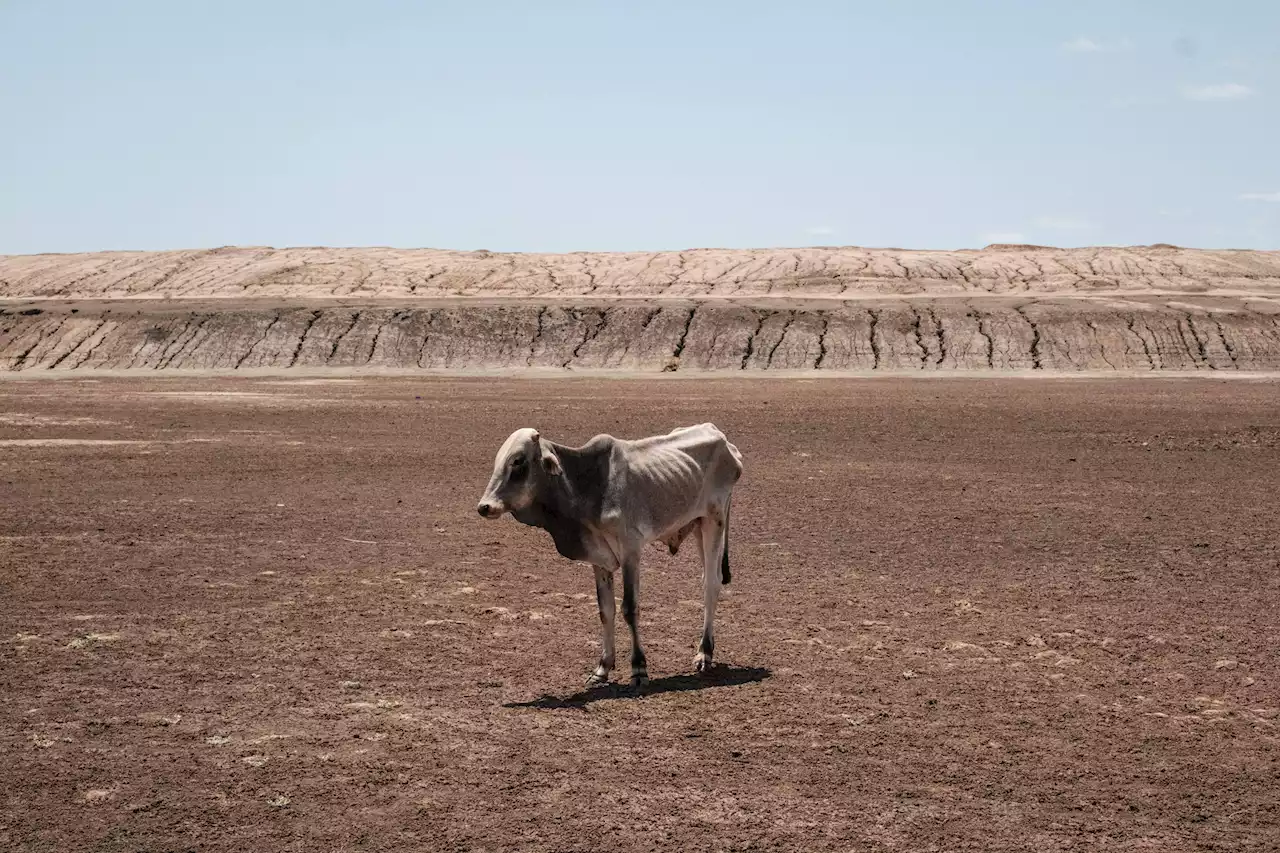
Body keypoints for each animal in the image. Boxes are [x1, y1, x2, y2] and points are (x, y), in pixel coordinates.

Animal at [478, 422, 742, 686]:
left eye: (518, 461)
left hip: (714, 520)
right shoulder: (599, 559)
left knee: (711, 583)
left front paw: (639, 668)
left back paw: (704, 653)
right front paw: (602, 668)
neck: (588, 485)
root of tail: (723, 439)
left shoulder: (630, 551)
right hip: (698, 524)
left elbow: (629, 608)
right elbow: (605, 610)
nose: (484, 507)